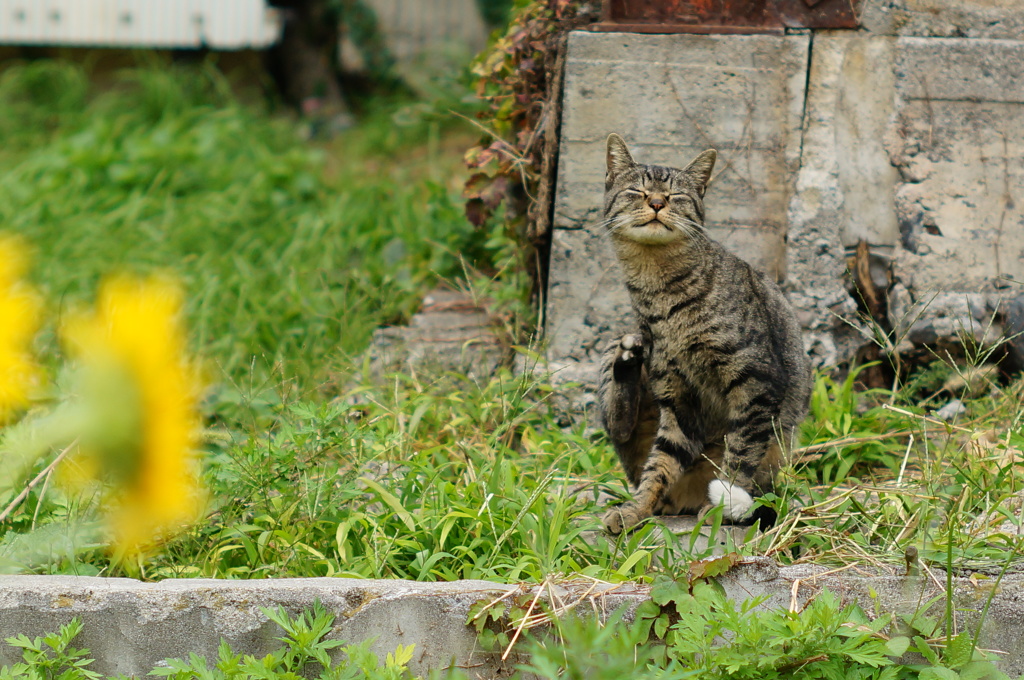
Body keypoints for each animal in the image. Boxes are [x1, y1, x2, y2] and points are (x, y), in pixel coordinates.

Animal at [598, 134, 806, 536]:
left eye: (675, 195)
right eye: (638, 191)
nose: (657, 203)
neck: (659, 287)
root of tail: (683, 501)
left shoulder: (757, 382)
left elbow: (740, 454)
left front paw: (721, 509)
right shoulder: (677, 398)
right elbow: (659, 466)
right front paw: (635, 510)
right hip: (616, 351)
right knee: (620, 428)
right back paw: (629, 359)